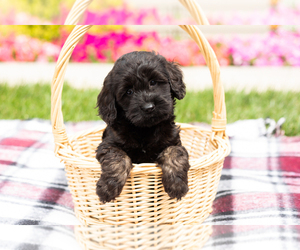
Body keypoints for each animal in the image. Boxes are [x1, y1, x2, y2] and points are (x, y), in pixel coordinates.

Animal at [96, 50, 190, 203]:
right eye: (129, 92)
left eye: (153, 82)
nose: (148, 107)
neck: (145, 129)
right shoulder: (108, 144)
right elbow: (117, 157)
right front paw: (107, 188)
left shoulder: (173, 141)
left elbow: (175, 152)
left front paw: (177, 185)